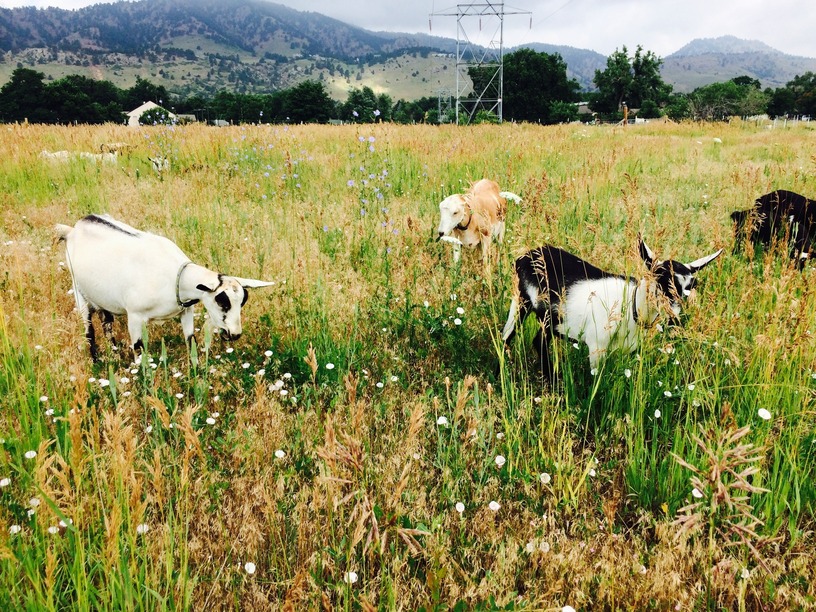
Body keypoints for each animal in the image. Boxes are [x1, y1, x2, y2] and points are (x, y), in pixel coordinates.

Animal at [56, 214, 273, 361]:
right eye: (222, 301)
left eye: (242, 301)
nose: (235, 334)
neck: (175, 278)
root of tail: (73, 230)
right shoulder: (135, 316)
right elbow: (139, 351)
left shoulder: (186, 311)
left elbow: (191, 342)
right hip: (79, 293)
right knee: (89, 330)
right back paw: (96, 361)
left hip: (102, 299)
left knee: (106, 322)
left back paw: (115, 354)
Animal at [501, 237, 722, 381]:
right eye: (661, 280)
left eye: (691, 286)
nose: (674, 319)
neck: (631, 307)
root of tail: (526, 255)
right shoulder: (596, 347)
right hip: (520, 300)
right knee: (507, 336)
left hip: (549, 318)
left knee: (538, 341)